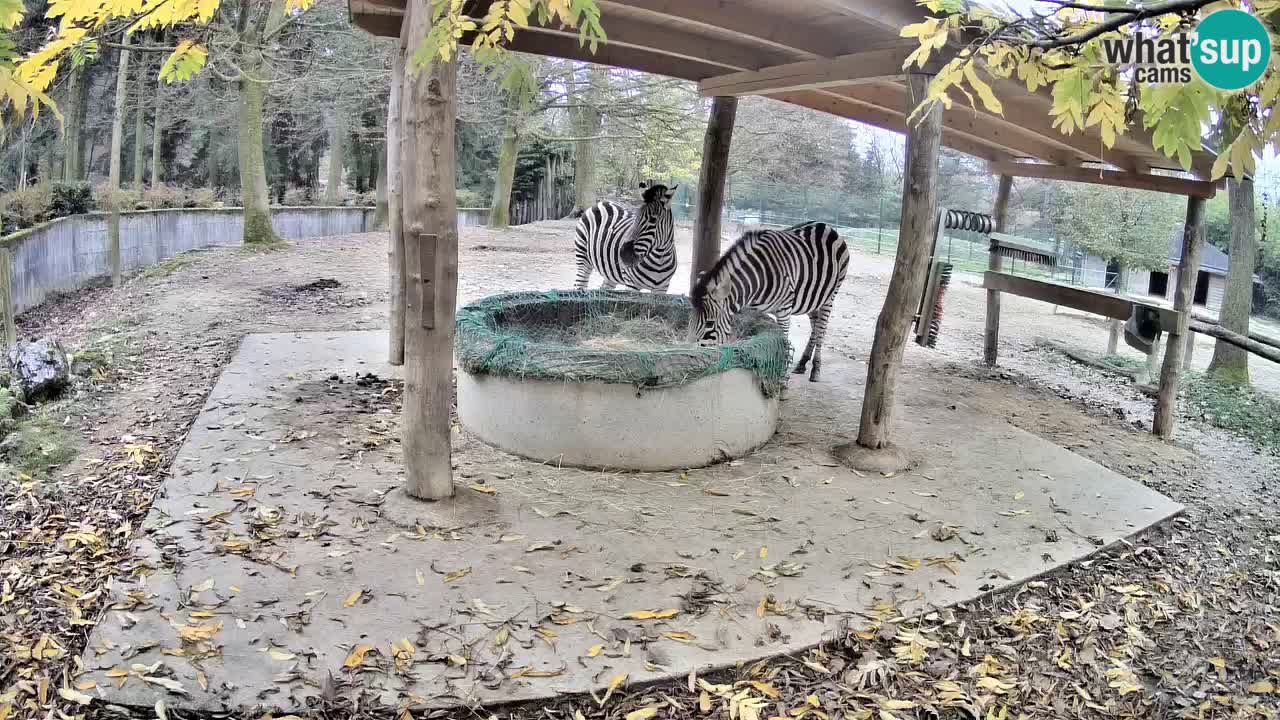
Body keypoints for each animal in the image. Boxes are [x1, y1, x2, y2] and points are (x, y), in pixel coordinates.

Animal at [689, 221, 849, 382]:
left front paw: (781, 377)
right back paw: (802, 363)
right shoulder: (752, 309)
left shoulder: (784, 309)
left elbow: (783, 340)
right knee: (815, 327)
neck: (757, 278)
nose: (691, 358)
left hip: (829, 297)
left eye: (709, 324)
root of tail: (826, 226)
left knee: (821, 329)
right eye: (690, 321)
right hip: (813, 299)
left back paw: (816, 369)